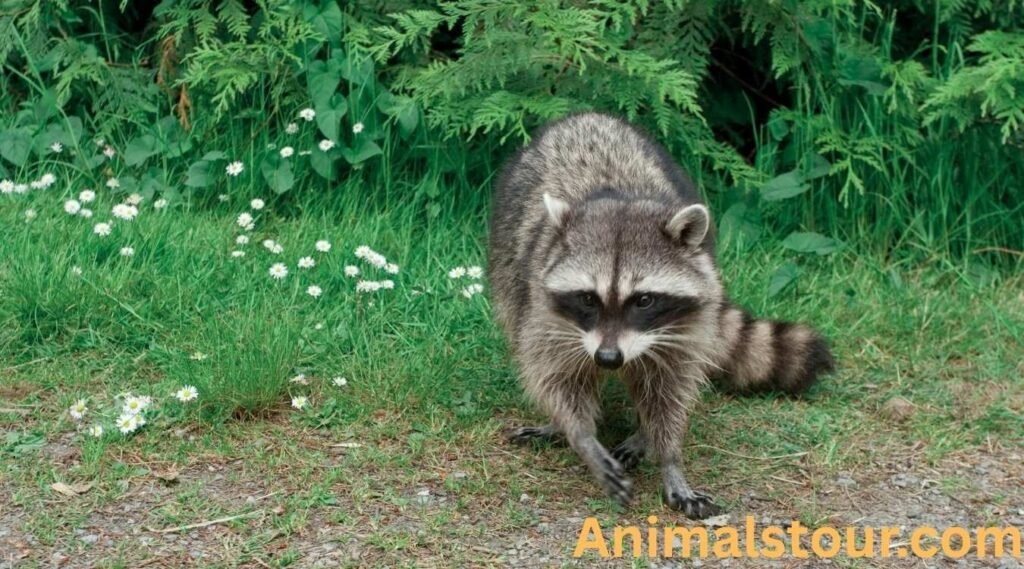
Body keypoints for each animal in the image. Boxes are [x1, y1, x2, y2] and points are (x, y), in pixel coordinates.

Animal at [488, 112, 833, 519]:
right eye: (588, 298)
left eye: (644, 300)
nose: (608, 358)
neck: (615, 199)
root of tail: (587, 116)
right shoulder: (543, 310)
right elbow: (555, 379)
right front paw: (582, 437)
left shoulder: (683, 328)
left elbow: (669, 391)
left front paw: (668, 457)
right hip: (508, 265)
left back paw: (642, 433)